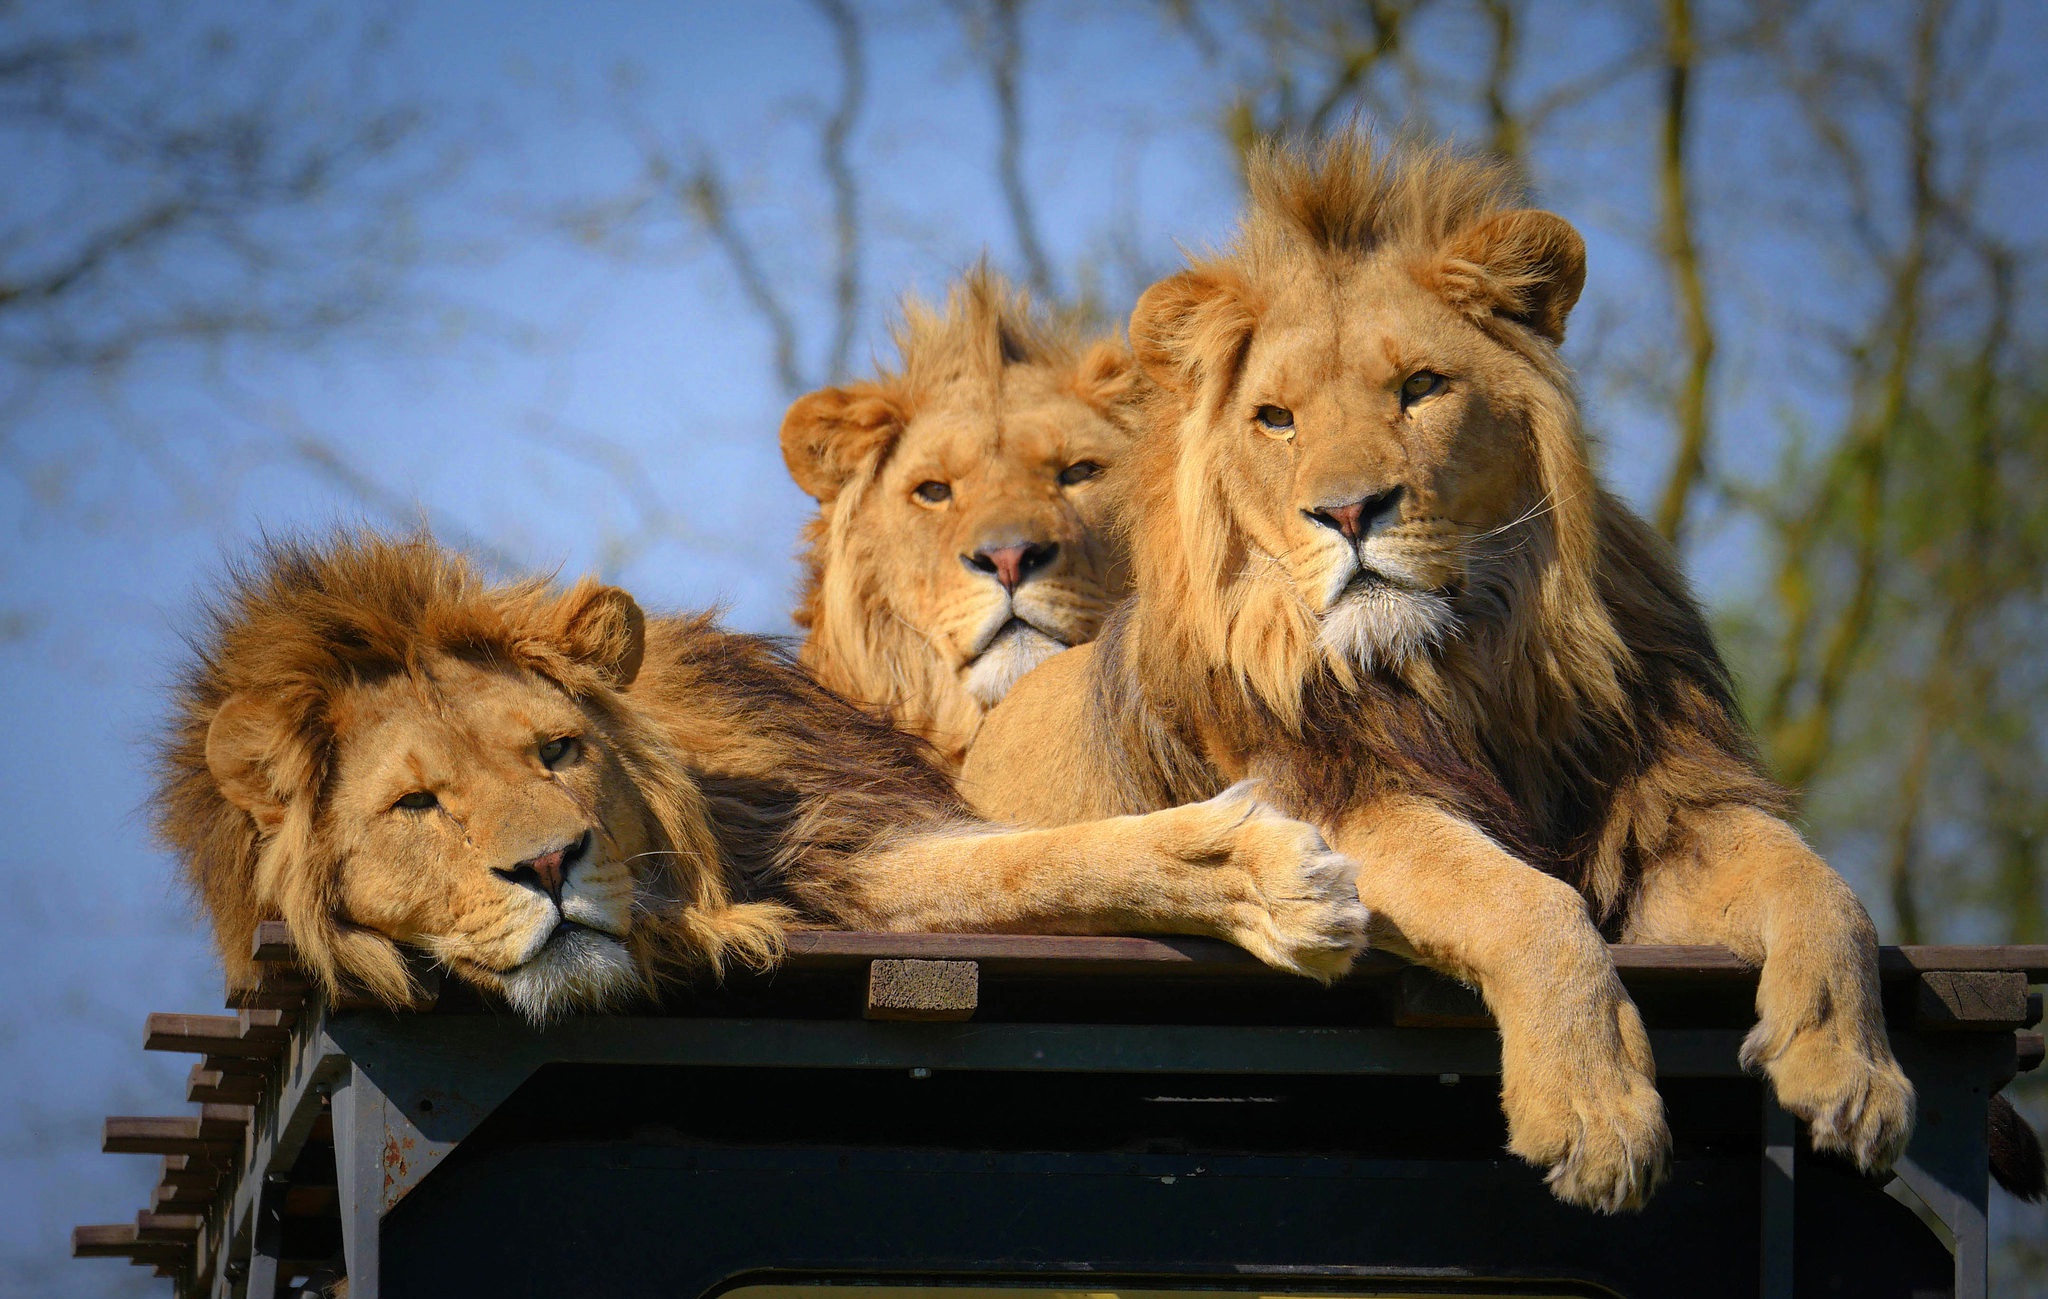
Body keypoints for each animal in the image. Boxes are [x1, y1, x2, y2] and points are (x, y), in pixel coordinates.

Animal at [148, 532, 1359, 1016]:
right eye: (414, 804)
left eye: (557, 750)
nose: (549, 865)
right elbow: (1022, 871)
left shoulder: (835, 835)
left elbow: (1028, 866)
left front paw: (1264, 873)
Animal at [962, 126, 1916, 1212]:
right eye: (1276, 419)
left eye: (1420, 387)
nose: (1346, 511)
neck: (1466, 667)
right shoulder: (1340, 813)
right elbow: (1532, 906)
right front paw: (1594, 1115)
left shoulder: (1664, 813)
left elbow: (1822, 887)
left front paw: (1852, 1073)